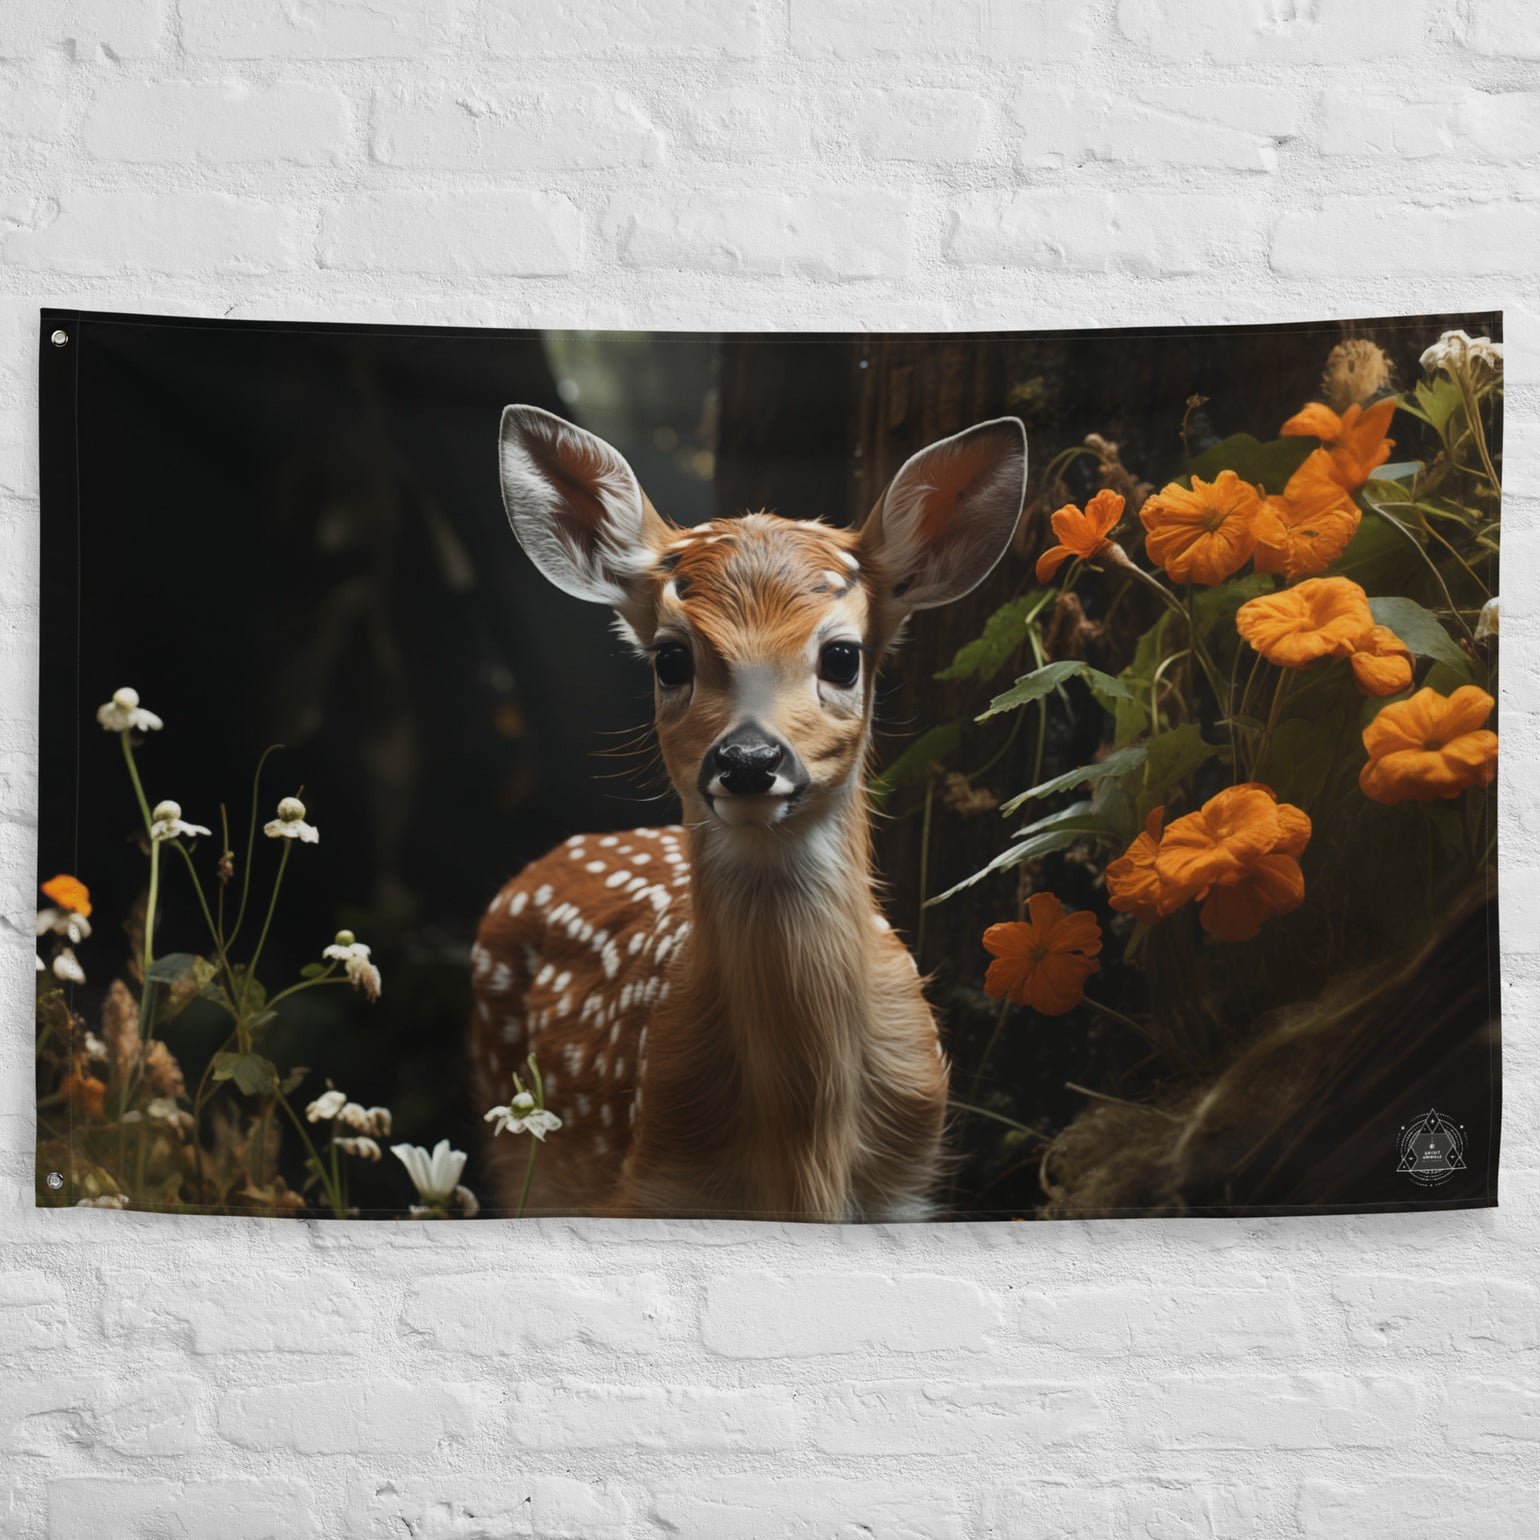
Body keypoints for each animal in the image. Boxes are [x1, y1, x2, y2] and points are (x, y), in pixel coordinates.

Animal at [471, 404, 1028, 1221]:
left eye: (842, 657)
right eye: (671, 658)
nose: (747, 761)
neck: (803, 1145)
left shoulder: (904, 1188)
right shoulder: (653, 1189)